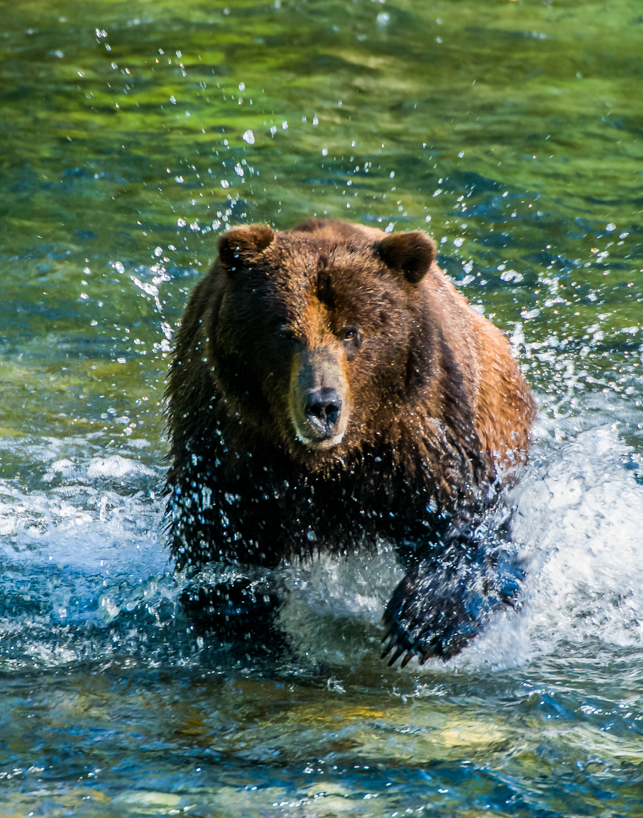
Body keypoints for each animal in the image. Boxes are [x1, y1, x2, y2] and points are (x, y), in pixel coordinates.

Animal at [165, 218, 536, 666]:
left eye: (351, 332)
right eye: (285, 332)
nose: (323, 406)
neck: (327, 461)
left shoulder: (419, 428)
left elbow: (464, 523)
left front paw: (419, 625)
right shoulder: (229, 440)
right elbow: (219, 545)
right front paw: (245, 624)